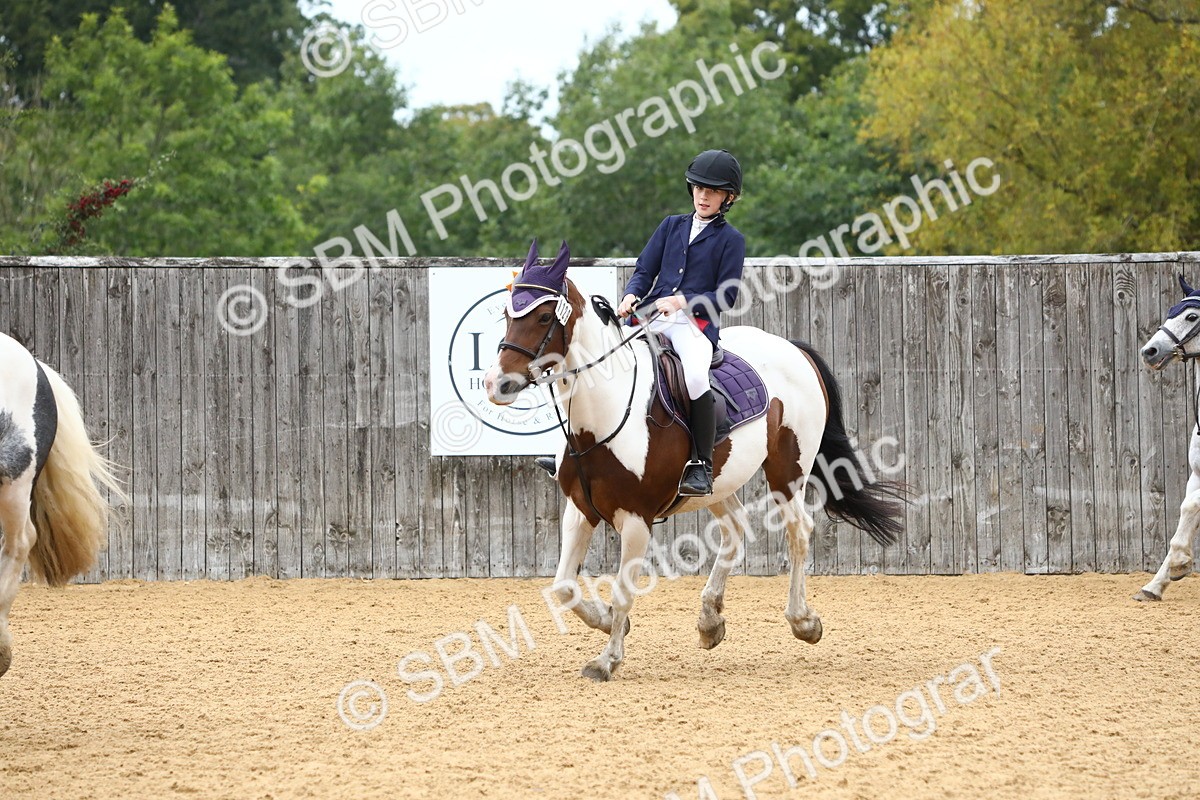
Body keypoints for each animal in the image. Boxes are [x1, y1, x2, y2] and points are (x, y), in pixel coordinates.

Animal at [485, 240, 906, 680]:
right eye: (508, 315)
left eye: (544, 316)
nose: (496, 384)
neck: (603, 413)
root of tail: (792, 348)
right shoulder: (580, 508)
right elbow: (563, 586)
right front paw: (606, 623)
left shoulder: (635, 519)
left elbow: (622, 590)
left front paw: (607, 659)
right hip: (719, 481)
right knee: (735, 529)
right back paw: (710, 621)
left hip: (788, 472)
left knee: (798, 531)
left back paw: (802, 621)